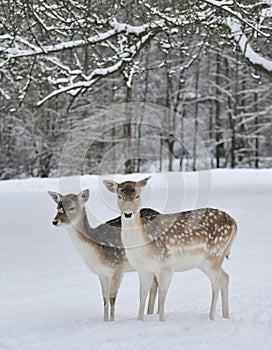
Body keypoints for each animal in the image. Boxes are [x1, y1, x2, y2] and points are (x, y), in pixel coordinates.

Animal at [48, 189, 159, 322]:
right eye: (57, 207)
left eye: (71, 208)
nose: (55, 221)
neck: (96, 252)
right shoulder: (102, 272)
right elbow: (104, 298)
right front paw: (105, 321)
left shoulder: (118, 267)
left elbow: (112, 297)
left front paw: (112, 321)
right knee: (154, 285)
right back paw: (150, 314)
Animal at [103, 178, 237, 322]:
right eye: (119, 196)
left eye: (137, 195)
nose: (128, 214)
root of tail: (234, 223)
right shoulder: (143, 269)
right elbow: (142, 295)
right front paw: (140, 320)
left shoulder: (167, 265)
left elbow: (162, 295)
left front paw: (162, 320)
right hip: (206, 261)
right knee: (225, 277)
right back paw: (226, 316)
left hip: (214, 256)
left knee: (216, 284)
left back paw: (211, 317)